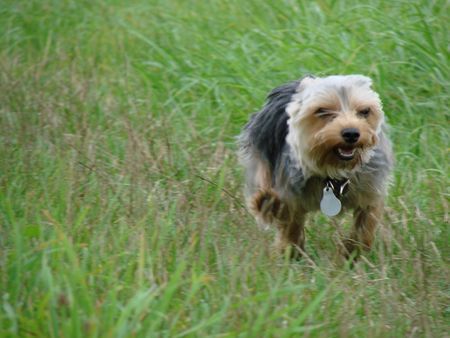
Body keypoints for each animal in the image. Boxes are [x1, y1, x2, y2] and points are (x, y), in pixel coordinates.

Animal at [239, 74, 394, 258]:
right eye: (322, 111)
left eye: (364, 111)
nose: (351, 133)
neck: (333, 171)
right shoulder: (289, 190)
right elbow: (289, 222)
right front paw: (291, 251)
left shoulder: (370, 188)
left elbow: (366, 223)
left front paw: (351, 253)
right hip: (262, 144)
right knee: (262, 176)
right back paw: (266, 201)